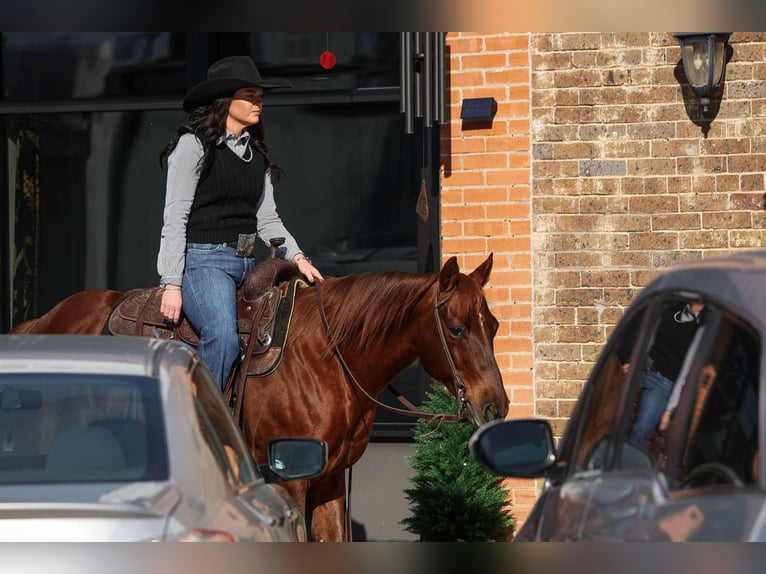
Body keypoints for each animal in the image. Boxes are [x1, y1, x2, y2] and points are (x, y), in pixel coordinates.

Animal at [10, 256, 510, 544]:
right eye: (457, 329)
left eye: (494, 325)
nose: (496, 406)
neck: (330, 358)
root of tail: (40, 321)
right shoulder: (289, 480)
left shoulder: (330, 480)